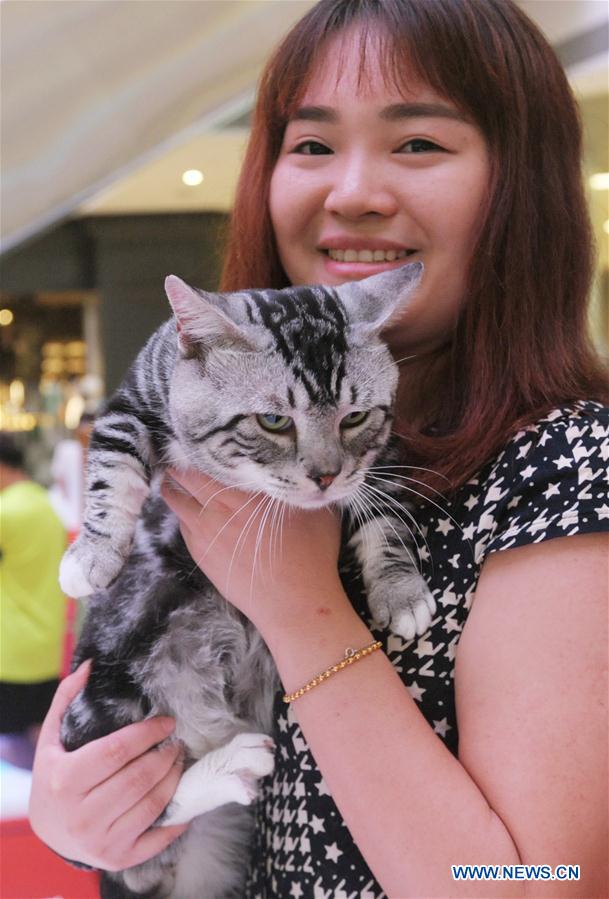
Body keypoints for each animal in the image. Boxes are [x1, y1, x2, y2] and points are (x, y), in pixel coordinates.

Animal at [58, 262, 432, 899]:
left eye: (355, 417)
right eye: (273, 420)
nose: (326, 475)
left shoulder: (381, 459)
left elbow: (384, 520)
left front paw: (401, 593)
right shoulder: (130, 402)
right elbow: (112, 469)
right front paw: (92, 555)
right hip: (104, 697)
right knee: (138, 829)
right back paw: (230, 765)